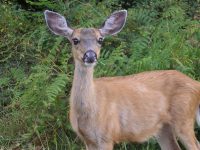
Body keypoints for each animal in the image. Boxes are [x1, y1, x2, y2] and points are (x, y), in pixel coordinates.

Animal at [44, 9, 200, 149]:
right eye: (75, 40)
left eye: (100, 39)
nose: (91, 56)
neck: (90, 110)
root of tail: (195, 84)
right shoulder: (88, 140)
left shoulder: (106, 136)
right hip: (163, 127)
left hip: (184, 117)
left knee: (195, 144)